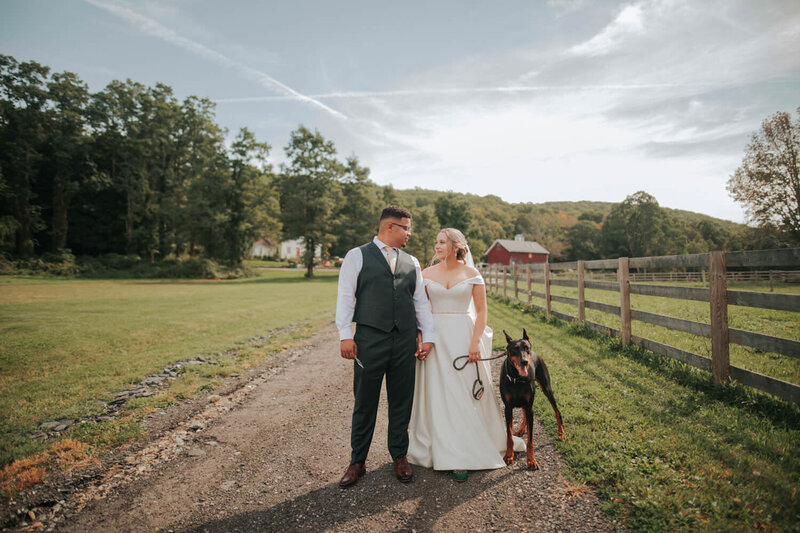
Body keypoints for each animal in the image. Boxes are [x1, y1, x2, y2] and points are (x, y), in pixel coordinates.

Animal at [500, 326, 564, 468]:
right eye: (514, 349)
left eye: (526, 347)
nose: (524, 361)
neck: (517, 379)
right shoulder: (508, 408)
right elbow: (509, 437)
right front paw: (509, 455)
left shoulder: (530, 407)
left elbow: (530, 440)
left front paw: (531, 460)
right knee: (524, 413)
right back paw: (521, 429)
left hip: (546, 388)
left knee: (557, 411)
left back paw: (561, 433)